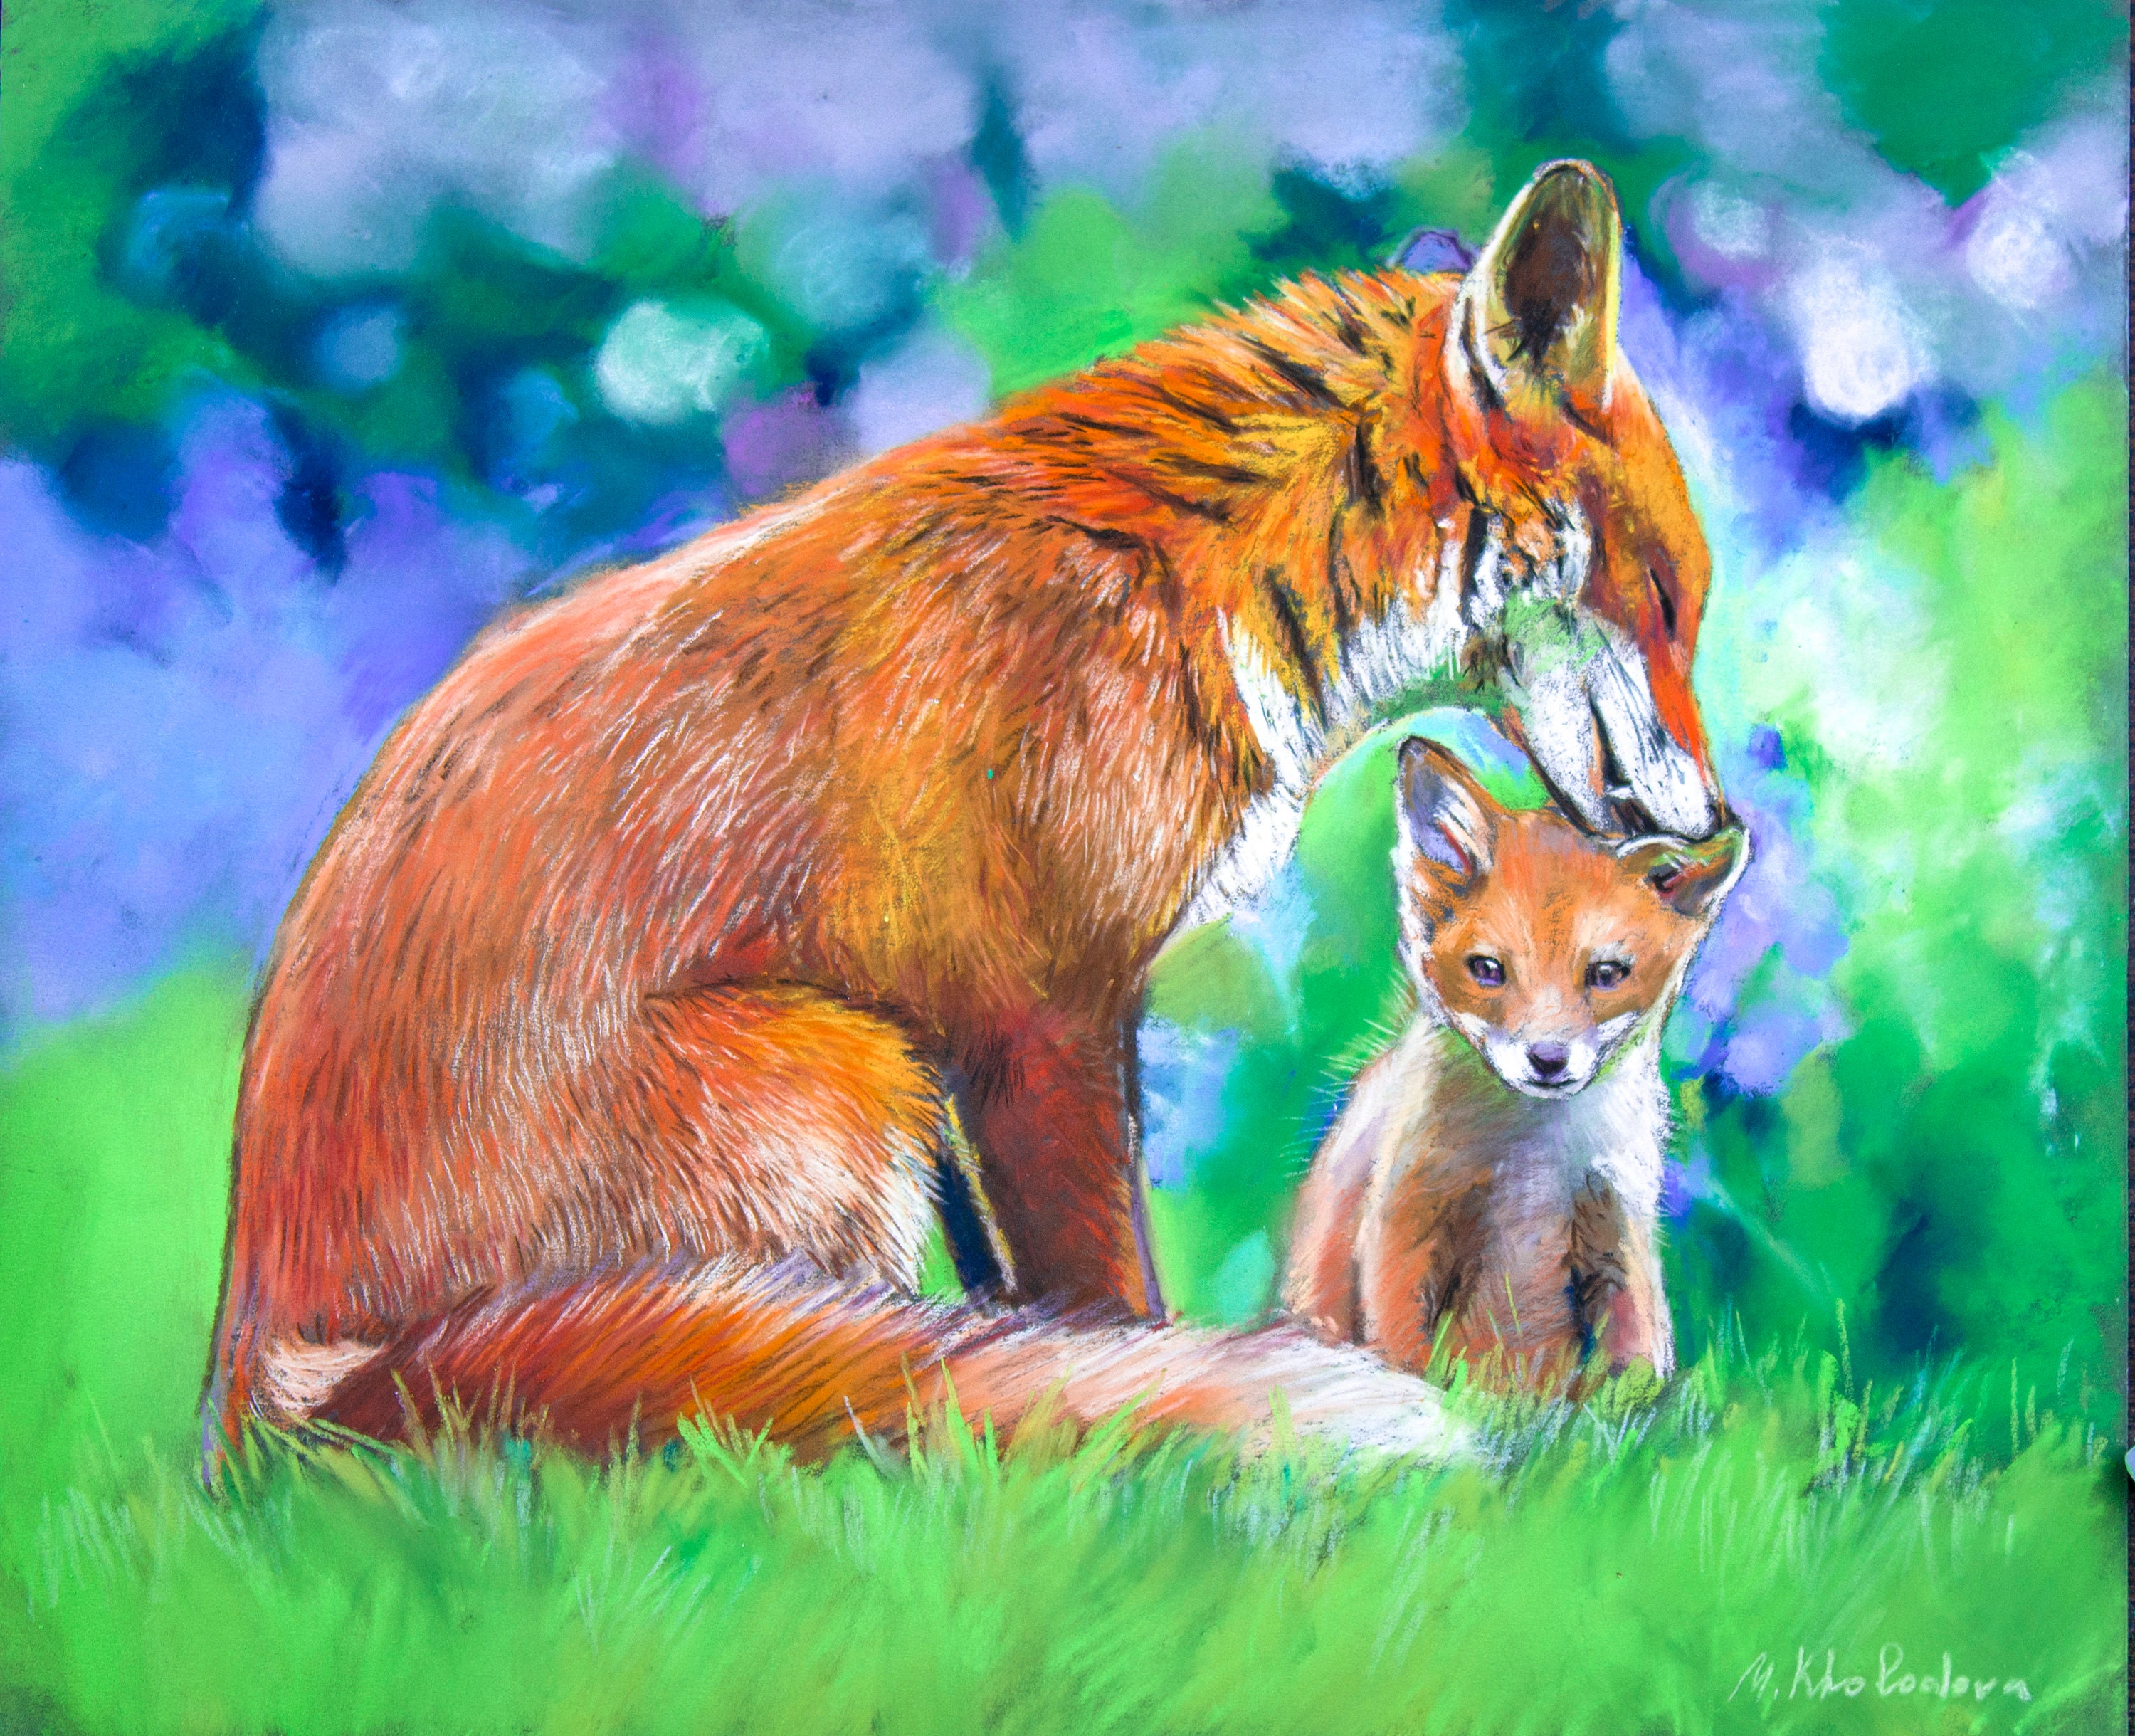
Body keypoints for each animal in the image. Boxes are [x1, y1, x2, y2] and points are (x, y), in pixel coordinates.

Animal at [1284, 738, 1746, 1390]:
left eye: (1607, 973)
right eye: (1487, 969)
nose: (1547, 1059)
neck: (1534, 1162)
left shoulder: (1616, 1226)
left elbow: (1635, 1368)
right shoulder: (1408, 1215)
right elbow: (1404, 1351)